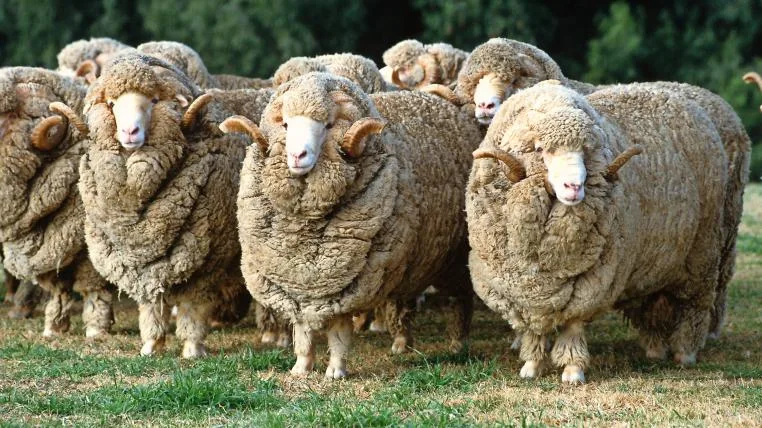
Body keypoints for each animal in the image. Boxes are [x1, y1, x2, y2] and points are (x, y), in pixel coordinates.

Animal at [0, 67, 115, 337]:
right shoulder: (55, 245)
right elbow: (59, 289)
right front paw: (54, 325)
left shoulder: (89, 244)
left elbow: (93, 286)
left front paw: (96, 327)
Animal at [76, 52, 252, 358]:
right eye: (112, 104)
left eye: (154, 100)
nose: (130, 131)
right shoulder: (142, 262)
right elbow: (150, 304)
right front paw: (151, 345)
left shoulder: (207, 259)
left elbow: (193, 306)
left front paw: (192, 348)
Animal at [223, 72, 482, 378]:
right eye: (285, 124)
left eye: (328, 125)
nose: (297, 156)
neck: (304, 227)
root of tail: (443, 103)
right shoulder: (298, 285)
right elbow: (303, 333)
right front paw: (301, 368)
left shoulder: (345, 285)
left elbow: (338, 333)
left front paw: (335, 370)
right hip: (411, 261)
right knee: (405, 299)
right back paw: (402, 342)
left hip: (455, 259)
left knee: (461, 300)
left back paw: (458, 343)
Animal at [465, 80, 749, 384]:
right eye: (540, 149)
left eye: (586, 152)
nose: (574, 187)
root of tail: (680, 95)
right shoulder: (522, 292)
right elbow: (533, 330)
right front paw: (531, 365)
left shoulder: (594, 282)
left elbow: (573, 326)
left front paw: (573, 370)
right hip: (657, 262)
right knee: (654, 307)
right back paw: (654, 350)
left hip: (702, 252)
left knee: (694, 306)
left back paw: (685, 353)